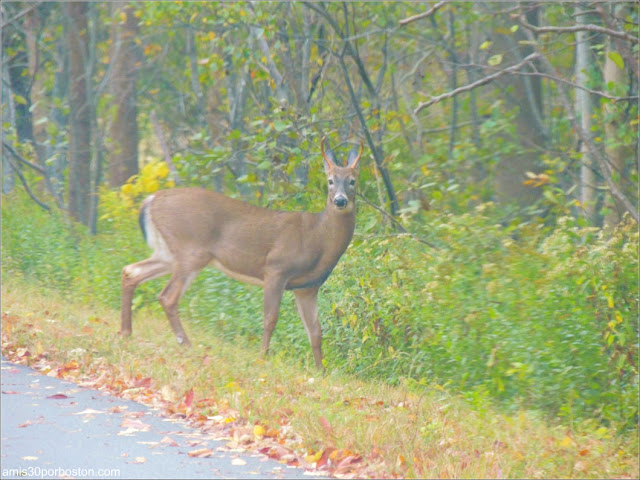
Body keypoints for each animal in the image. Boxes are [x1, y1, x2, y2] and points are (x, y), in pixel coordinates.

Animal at [119, 137, 360, 370]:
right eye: (330, 181)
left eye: (352, 181)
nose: (340, 200)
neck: (318, 237)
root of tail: (150, 200)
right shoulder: (276, 269)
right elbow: (270, 319)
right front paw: (263, 358)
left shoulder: (307, 287)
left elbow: (315, 331)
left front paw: (321, 371)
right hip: (190, 250)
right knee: (167, 297)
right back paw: (186, 344)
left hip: (168, 253)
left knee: (131, 271)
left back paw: (126, 332)